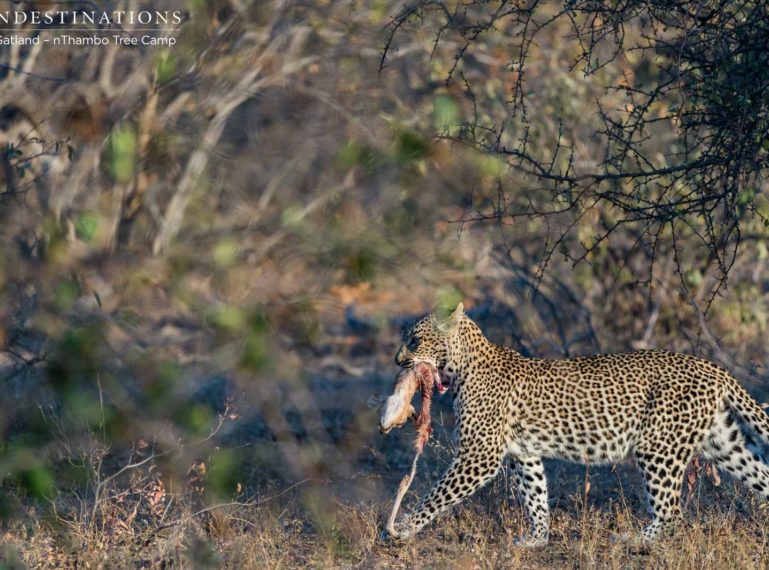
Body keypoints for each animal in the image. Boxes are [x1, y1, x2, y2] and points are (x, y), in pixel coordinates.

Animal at [388, 300, 768, 544]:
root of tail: (714, 368)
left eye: (415, 340)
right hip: (723, 443)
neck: (462, 365)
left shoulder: (479, 455)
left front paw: (402, 528)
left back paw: (635, 539)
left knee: (670, 511)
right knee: (760, 473)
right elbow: (536, 495)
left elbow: (437, 494)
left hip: (659, 446)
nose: (397, 360)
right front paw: (537, 539)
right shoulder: (523, 453)